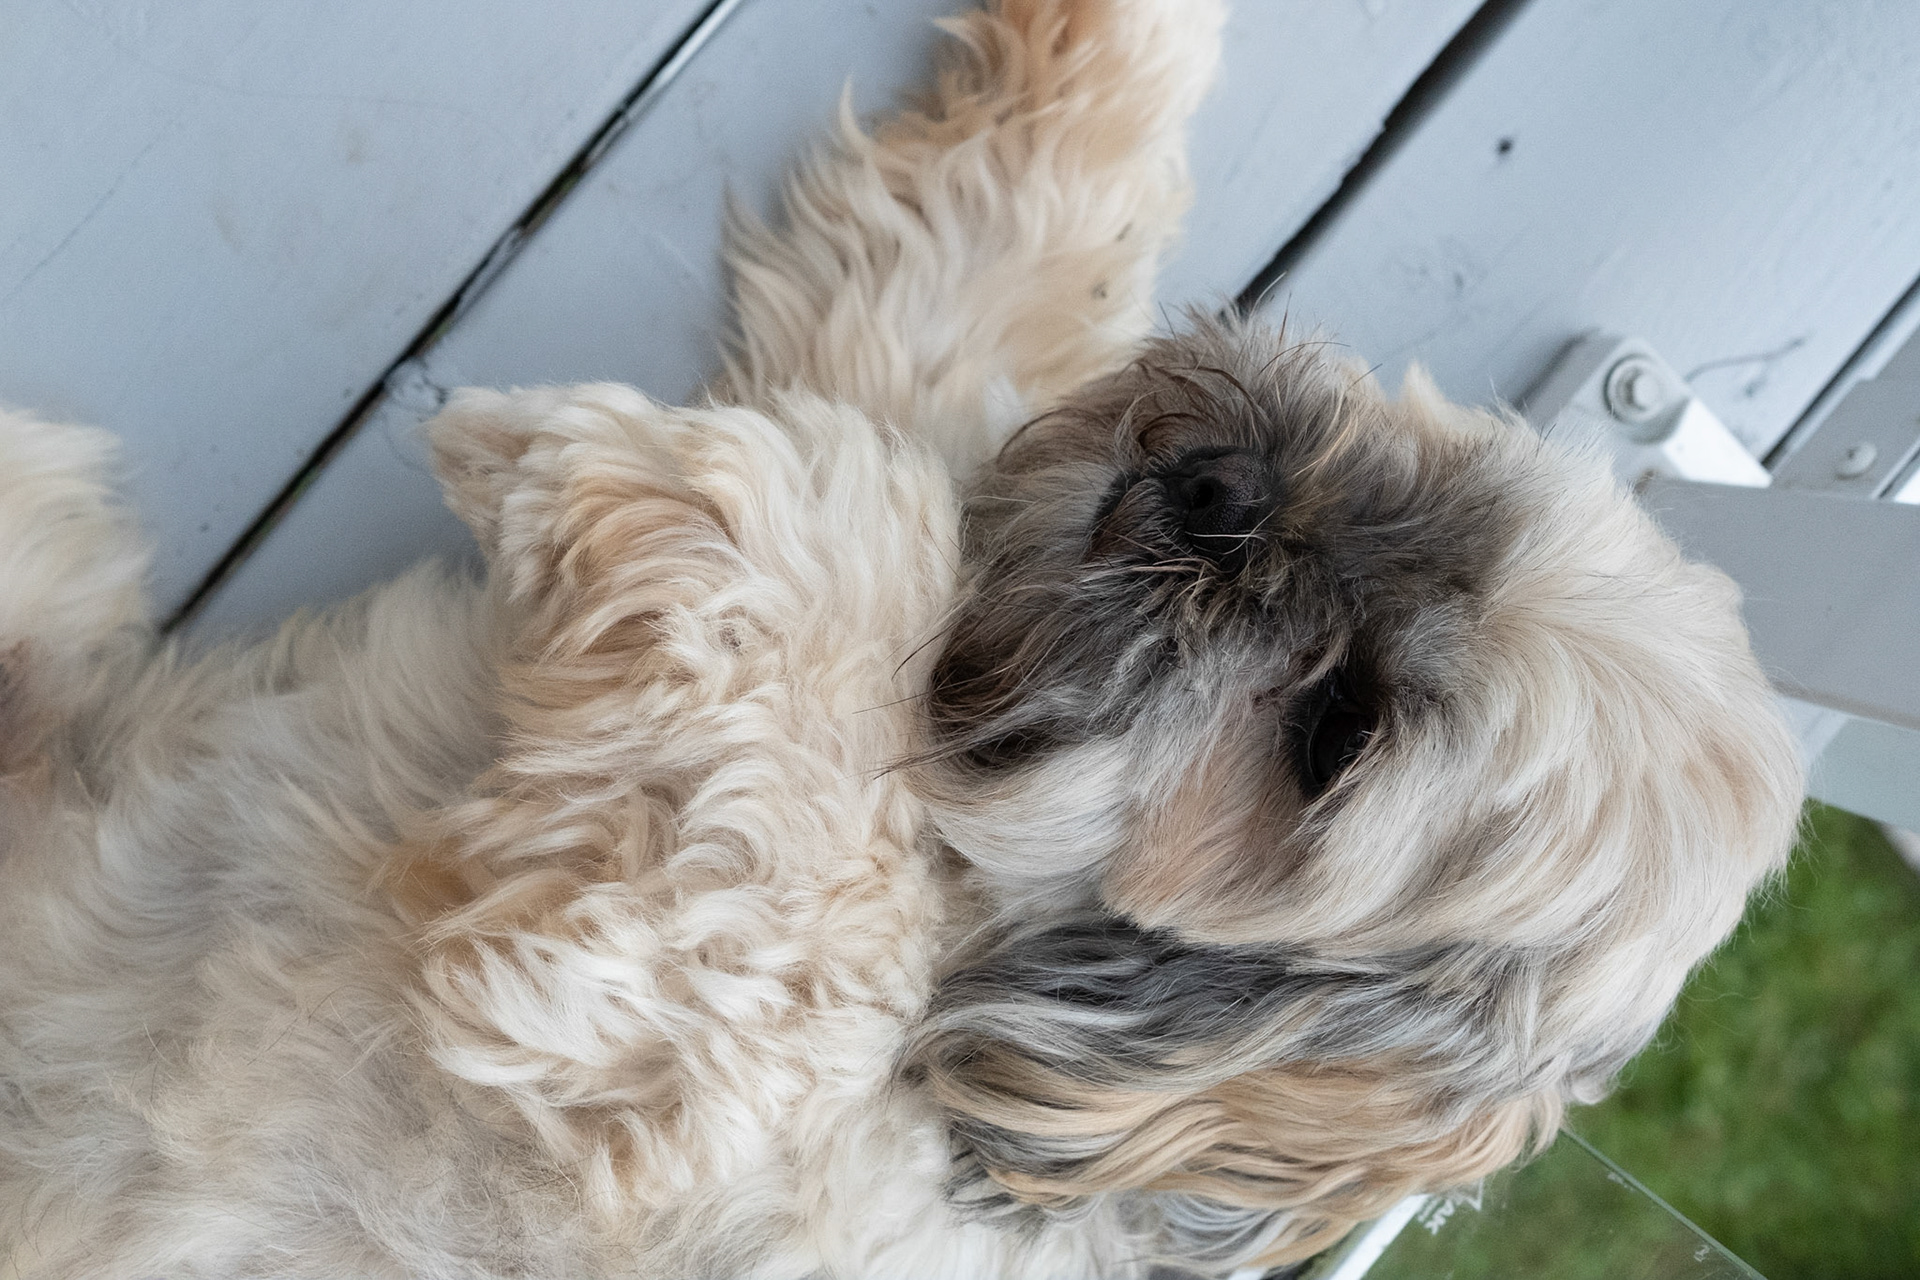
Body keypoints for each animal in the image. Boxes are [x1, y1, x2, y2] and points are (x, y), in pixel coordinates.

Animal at [0, 0, 1802, 1275]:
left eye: (1333, 741)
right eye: (1436, 477)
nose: (1221, 490)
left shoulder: (687, 1029)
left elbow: (831, 729)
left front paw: (615, 472)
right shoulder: (918, 346)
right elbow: (1011, 224)